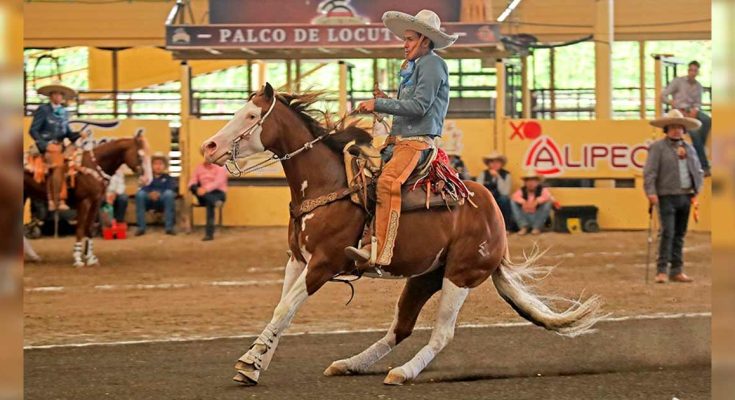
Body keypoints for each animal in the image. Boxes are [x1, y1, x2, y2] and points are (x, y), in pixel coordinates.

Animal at [23, 131, 152, 268]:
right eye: (140, 155)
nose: (146, 179)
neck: (94, 165)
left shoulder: (95, 202)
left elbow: (88, 228)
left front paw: (90, 258)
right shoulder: (84, 202)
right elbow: (80, 228)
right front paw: (78, 258)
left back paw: (34, 256)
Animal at [201, 83, 604, 384]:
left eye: (251, 116)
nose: (209, 146)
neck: (328, 184)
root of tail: (494, 215)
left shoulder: (323, 263)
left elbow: (286, 308)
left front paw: (249, 361)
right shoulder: (297, 259)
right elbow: (281, 309)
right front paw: (255, 364)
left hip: (460, 274)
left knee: (441, 334)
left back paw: (403, 372)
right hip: (424, 277)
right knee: (401, 328)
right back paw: (351, 364)